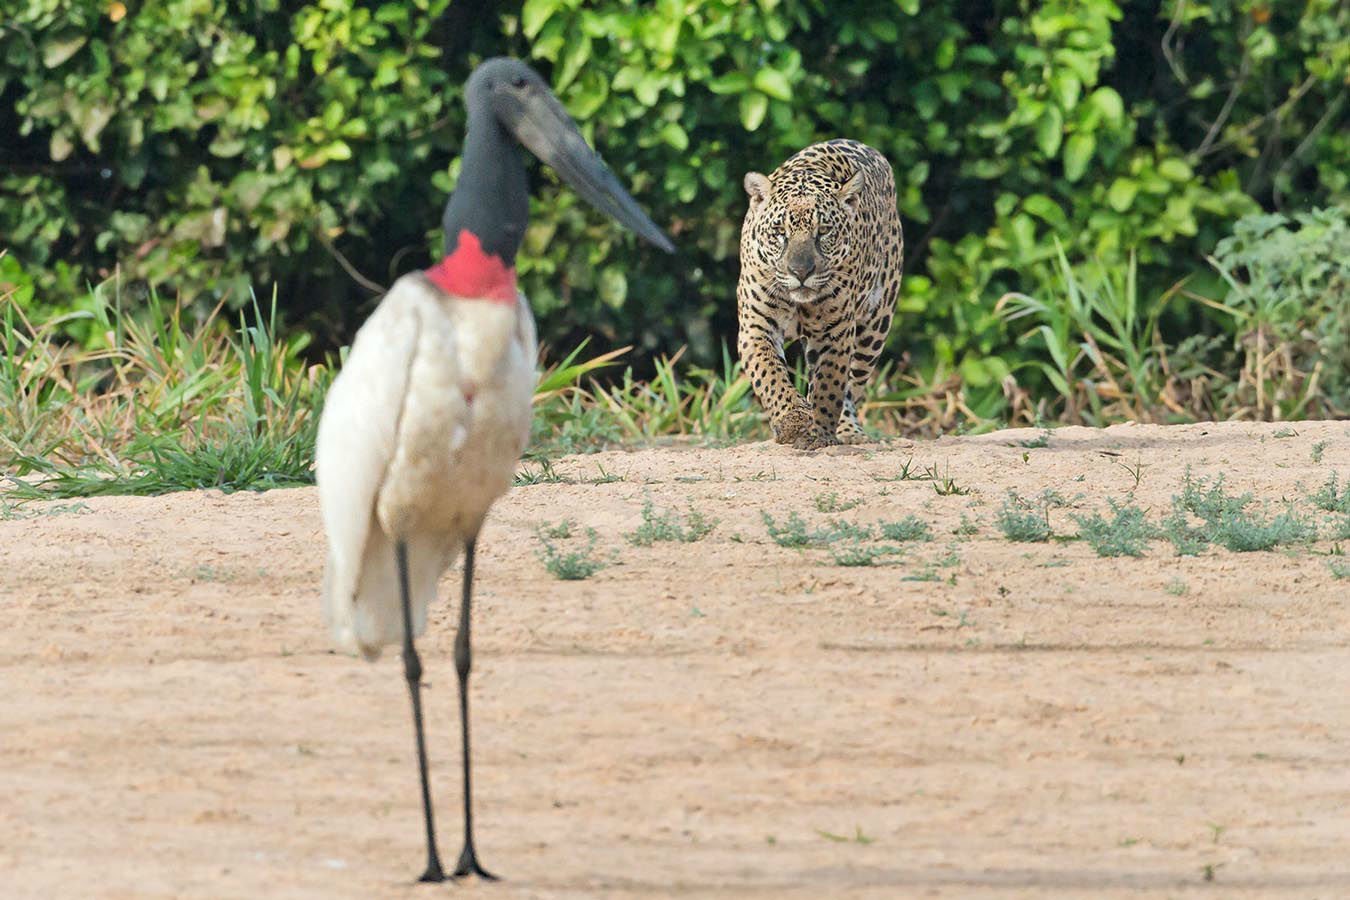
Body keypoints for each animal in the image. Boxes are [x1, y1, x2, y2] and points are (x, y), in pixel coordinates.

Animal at [736, 138, 903, 450]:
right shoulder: (757, 326)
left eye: (824, 231)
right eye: (779, 231)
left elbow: (830, 385)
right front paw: (793, 421)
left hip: (875, 328)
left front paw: (821, 432)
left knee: (852, 386)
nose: (801, 272)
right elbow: (771, 375)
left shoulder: (833, 332)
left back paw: (848, 430)